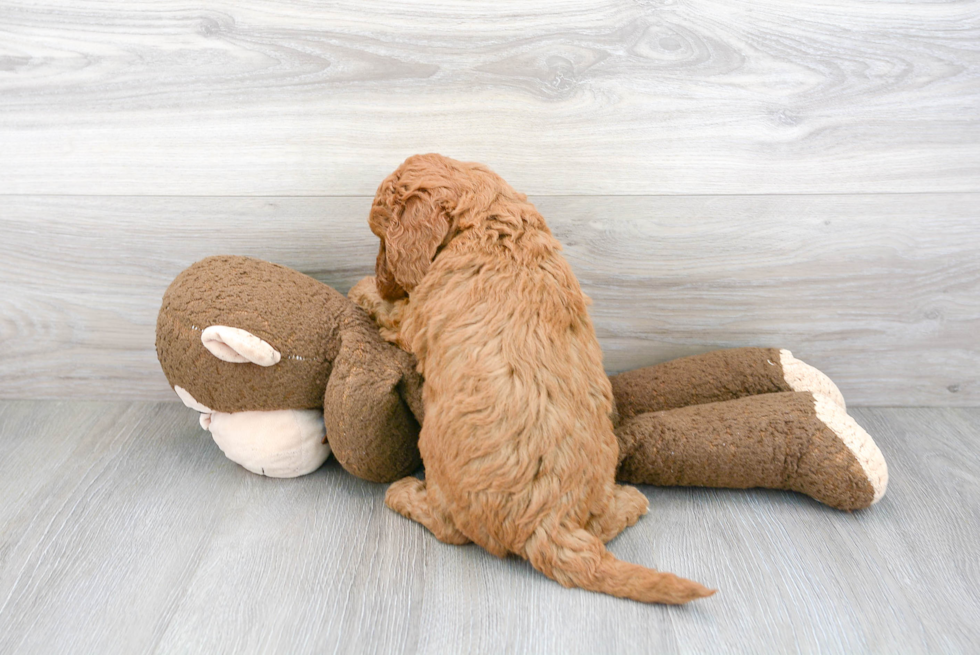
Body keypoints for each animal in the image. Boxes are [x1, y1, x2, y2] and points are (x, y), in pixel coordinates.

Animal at [352, 154, 712, 604]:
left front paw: (364, 289)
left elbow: (394, 313)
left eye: (381, 236)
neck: (490, 222)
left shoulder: (414, 319)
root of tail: (550, 523)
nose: (382, 277)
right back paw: (630, 500)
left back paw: (404, 492)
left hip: (435, 455)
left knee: (450, 529)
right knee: (600, 527)